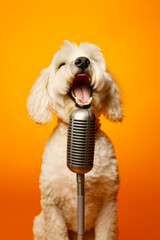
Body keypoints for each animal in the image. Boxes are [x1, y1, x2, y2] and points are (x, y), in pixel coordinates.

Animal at [27, 41, 122, 240]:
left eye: (92, 59)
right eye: (61, 65)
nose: (82, 61)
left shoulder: (109, 203)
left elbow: (106, 233)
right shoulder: (52, 205)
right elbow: (57, 233)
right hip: (40, 224)